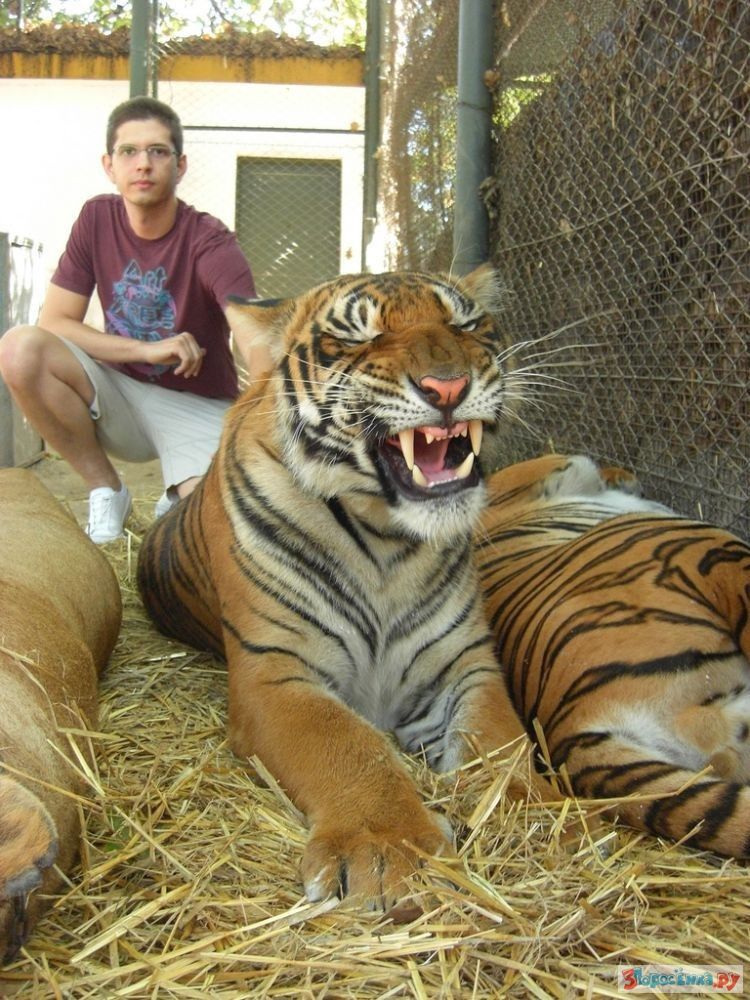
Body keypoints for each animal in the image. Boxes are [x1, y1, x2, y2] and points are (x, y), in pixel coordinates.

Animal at [137, 266, 560, 908]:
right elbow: (346, 746)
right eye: (358, 338)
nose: (447, 387)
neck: (387, 540)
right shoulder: (274, 673)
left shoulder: (466, 663)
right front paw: (384, 850)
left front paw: (532, 811)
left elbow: (499, 739)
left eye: (464, 323)